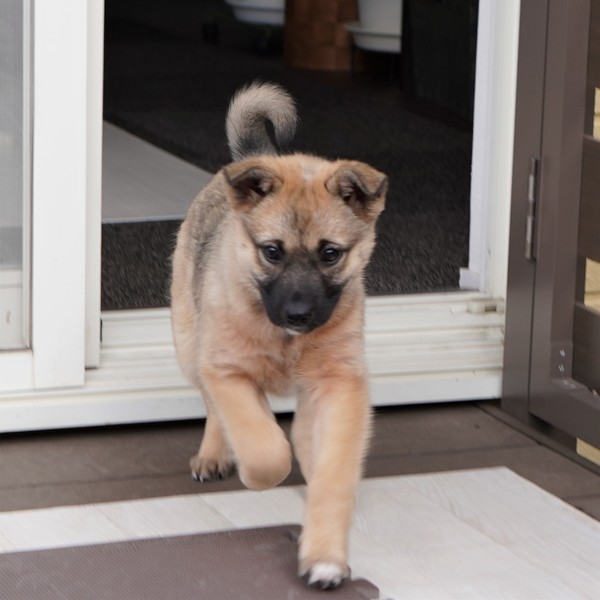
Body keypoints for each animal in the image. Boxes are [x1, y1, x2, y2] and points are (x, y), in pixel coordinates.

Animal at [170, 81, 387, 589]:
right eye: (272, 251)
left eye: (330, 253)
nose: (299, 314)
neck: (287, 342)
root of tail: (264, 156)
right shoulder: (226, 371)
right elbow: (264, 445)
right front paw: (258, 473)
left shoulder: (341, 385)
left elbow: (333, 473)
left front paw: (325, 555)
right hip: (189, 346)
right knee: (213, 406)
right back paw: (215, 455)